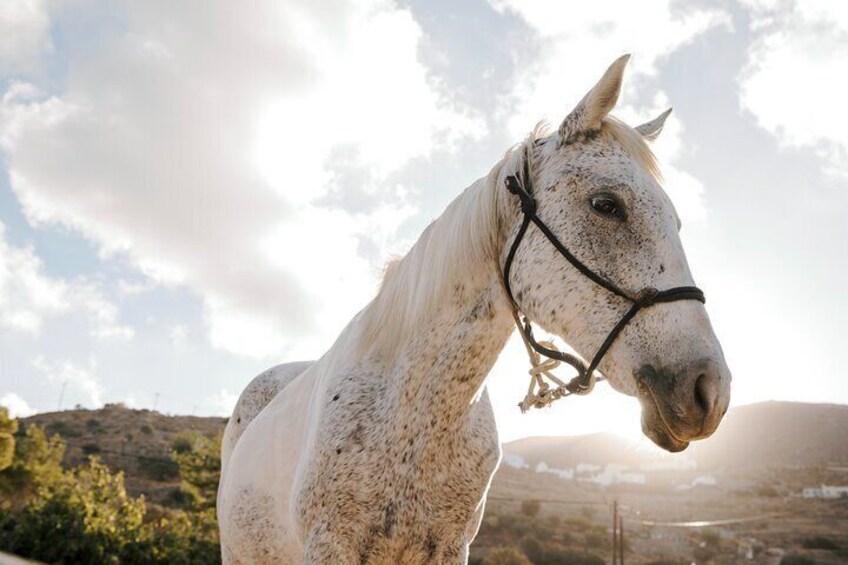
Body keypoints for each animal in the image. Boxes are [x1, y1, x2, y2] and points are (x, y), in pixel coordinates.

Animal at [217, 54, 728, 564]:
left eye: (676, 221)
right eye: (606, 204)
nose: (709, 390)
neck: (414, 416)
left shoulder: (450, 548)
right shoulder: (329, 546)